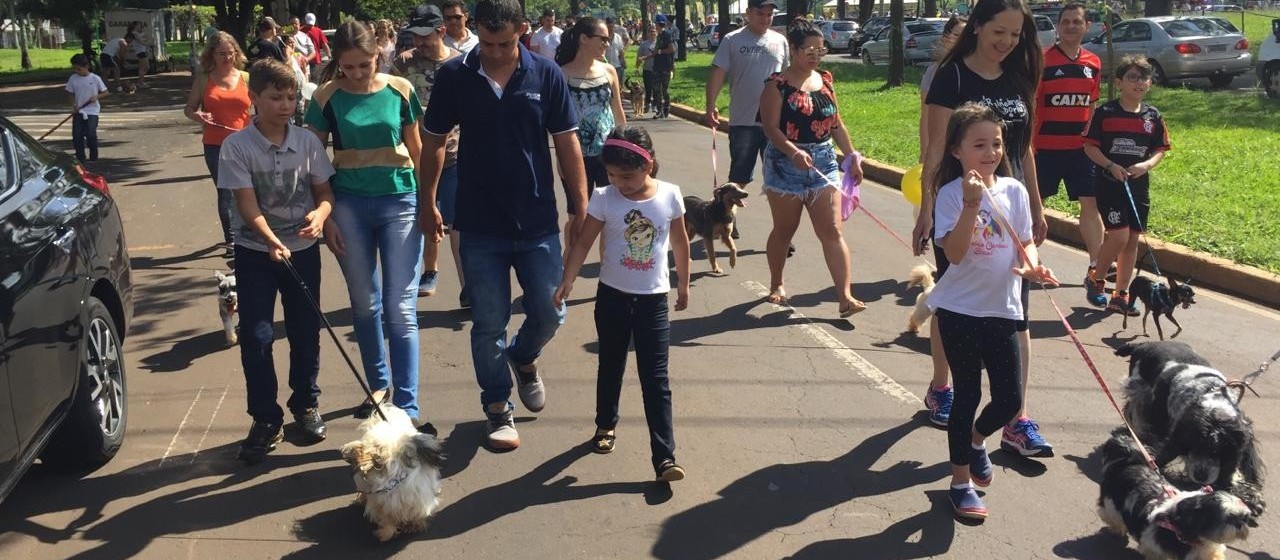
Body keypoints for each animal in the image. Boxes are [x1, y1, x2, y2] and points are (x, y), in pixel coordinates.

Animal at [340, 404, 445, 539]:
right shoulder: (382, 507)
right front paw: (385, 534)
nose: (345, 453)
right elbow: (387, 523)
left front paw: (415, 525)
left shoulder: (417, 501)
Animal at [1095, 432, 1254, 557]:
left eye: (1244, 518)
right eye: (1229, 518)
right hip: (1111, 504)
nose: (1240, 524)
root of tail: (1126, 463)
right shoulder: (1153, 545)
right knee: (1110, 515)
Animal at [1116, 340, 1264, 519]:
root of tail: (1143, 344)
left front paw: (1251, 497)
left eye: (1221, 452)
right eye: (1194, 445)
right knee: (1134, 412)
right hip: (1140, 391)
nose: (1201, 476)